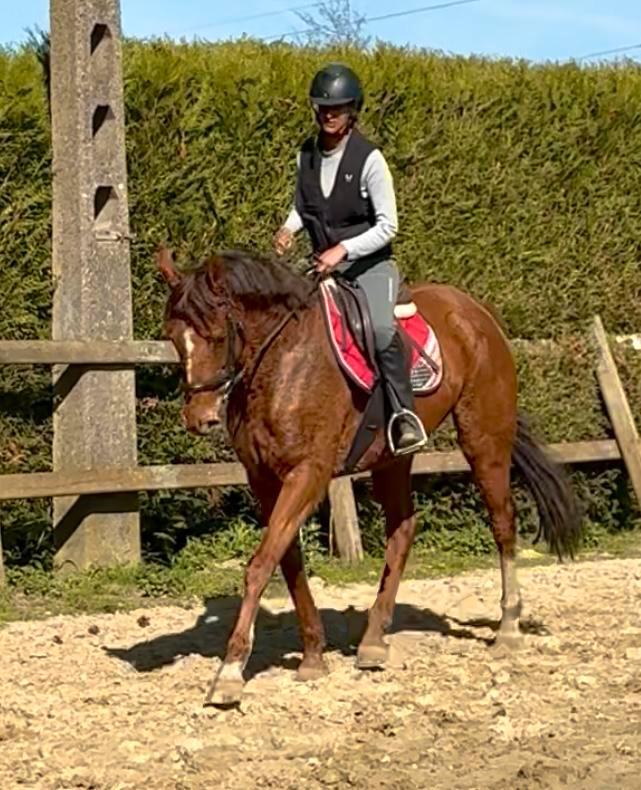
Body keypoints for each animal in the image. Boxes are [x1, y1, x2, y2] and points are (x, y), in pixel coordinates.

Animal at [156, 246, 581, 707]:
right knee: (403, 528)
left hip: (483, 439)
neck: (281, 359)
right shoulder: (264, 479)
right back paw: (374, 641)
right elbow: (288, 562)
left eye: (218, 335)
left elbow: (261, 564)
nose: (200, 418)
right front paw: (313, 655)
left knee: (502, 523)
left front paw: (230, 672)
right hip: (393, 458)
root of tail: (475, 311)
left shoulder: (309, 473)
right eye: (172, 336)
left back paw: (508, 628)